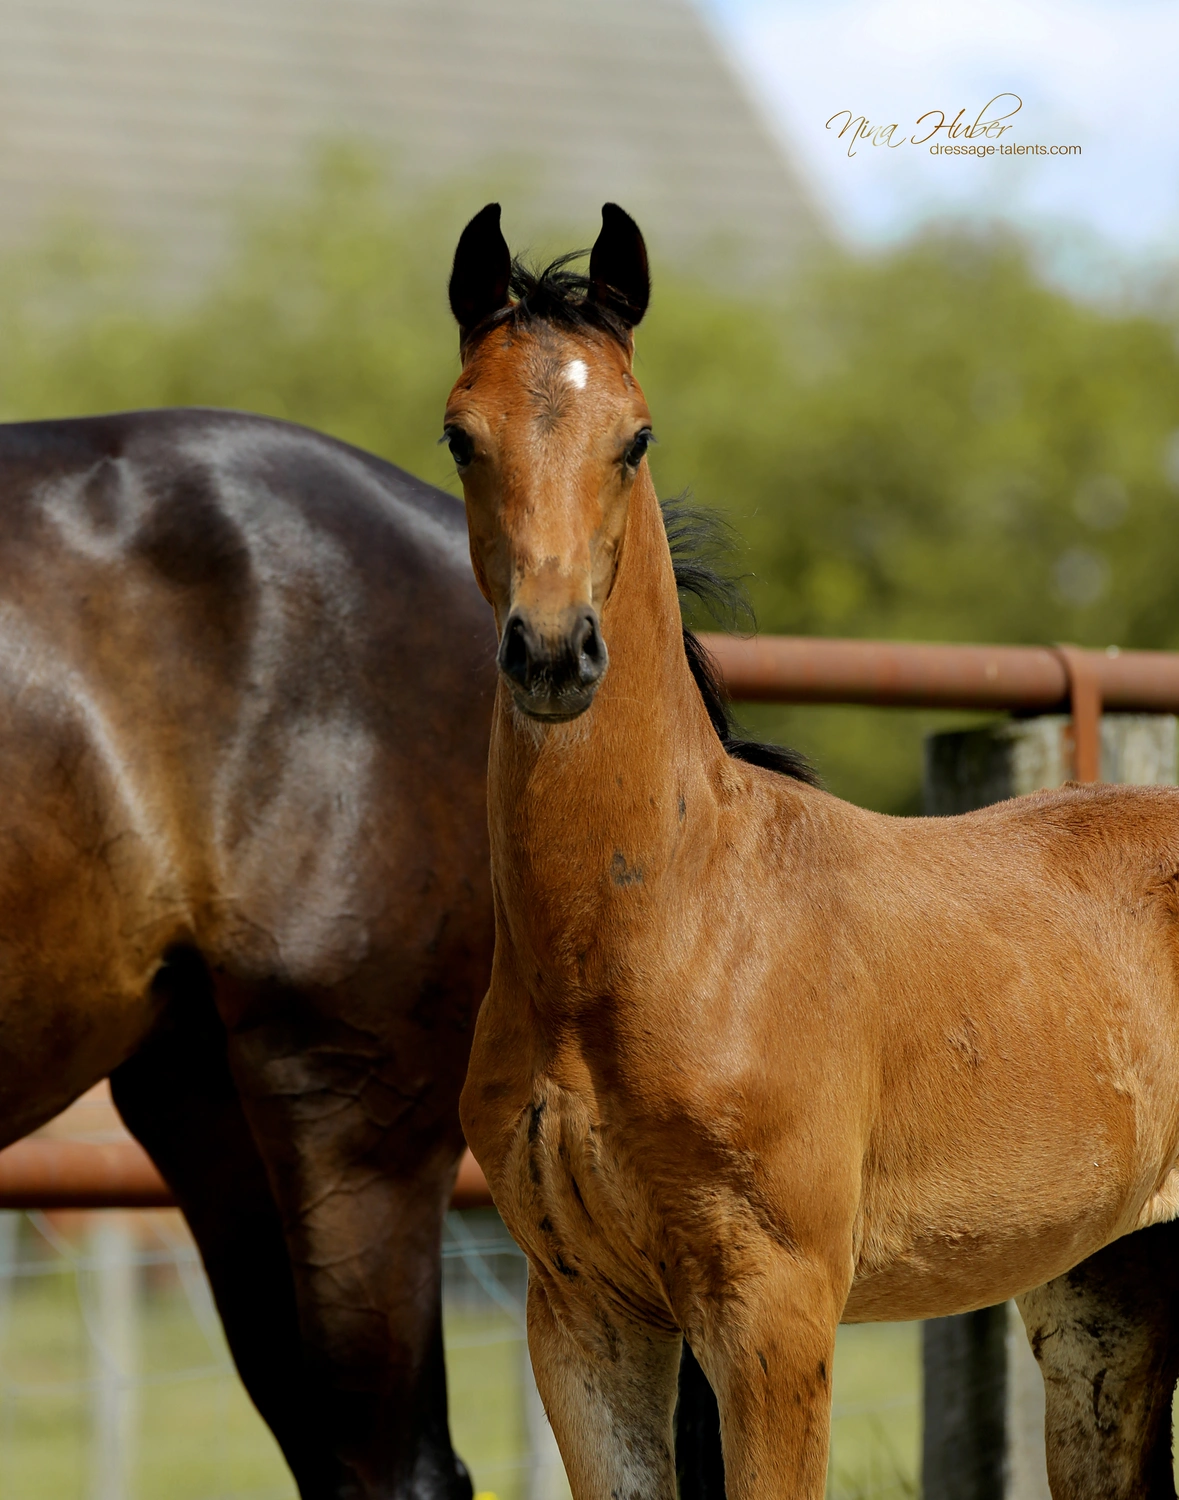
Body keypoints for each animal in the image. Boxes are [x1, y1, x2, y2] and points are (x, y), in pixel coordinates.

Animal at [447, 201, 1179, 1500]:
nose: (551, 653)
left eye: (636, 437)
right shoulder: (583, 1316)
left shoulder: (774, 1312)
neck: (666, 926)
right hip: (1108, 1294)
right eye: (459, 435)